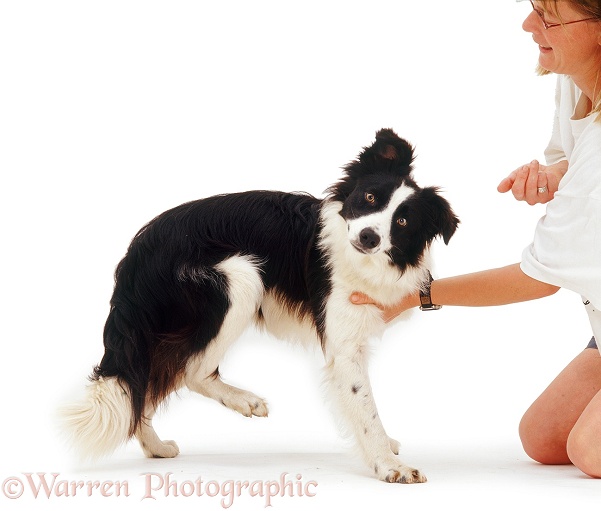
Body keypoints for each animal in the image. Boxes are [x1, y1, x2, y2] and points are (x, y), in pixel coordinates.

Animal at [62, 128, 454, 484]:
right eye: (370, 197)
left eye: (402, 221)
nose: (369, 237)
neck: (357, 256)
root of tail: (135, 255)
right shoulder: (344, 347)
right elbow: (365, 407)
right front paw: (390, 466)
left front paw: (387, 449)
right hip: (240, 278)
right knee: (186, 370)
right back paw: (244, 401)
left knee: (145, 383)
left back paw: (155, 447)